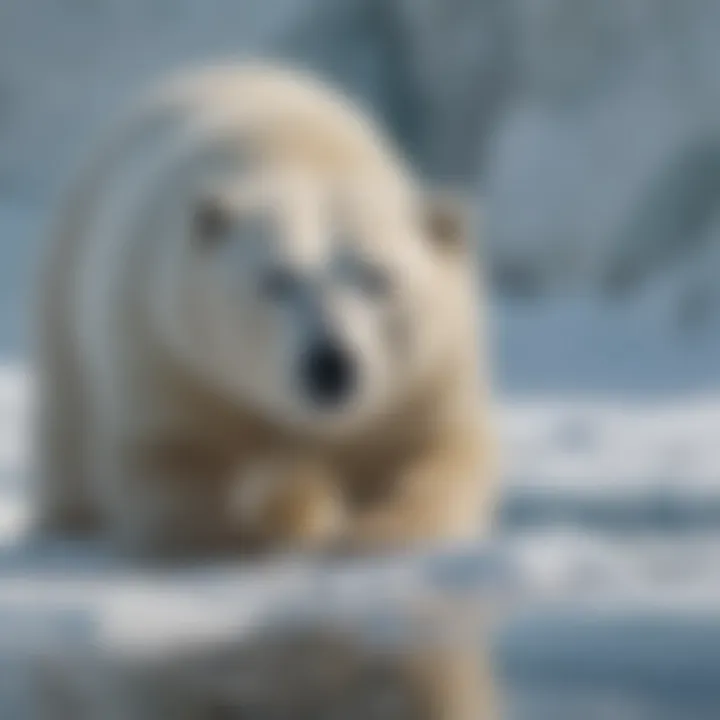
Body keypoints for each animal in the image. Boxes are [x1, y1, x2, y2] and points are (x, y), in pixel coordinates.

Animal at [33, 60, 496, 556]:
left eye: (377, 277)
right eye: (278, 280)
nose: (330, 364)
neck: (295, 154)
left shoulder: (423, 376)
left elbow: (428, 451)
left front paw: (377, 531)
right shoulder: (171, 352)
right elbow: (173, 456)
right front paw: (241, 531)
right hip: (66, 293)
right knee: (70, 429)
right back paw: (69, 519)